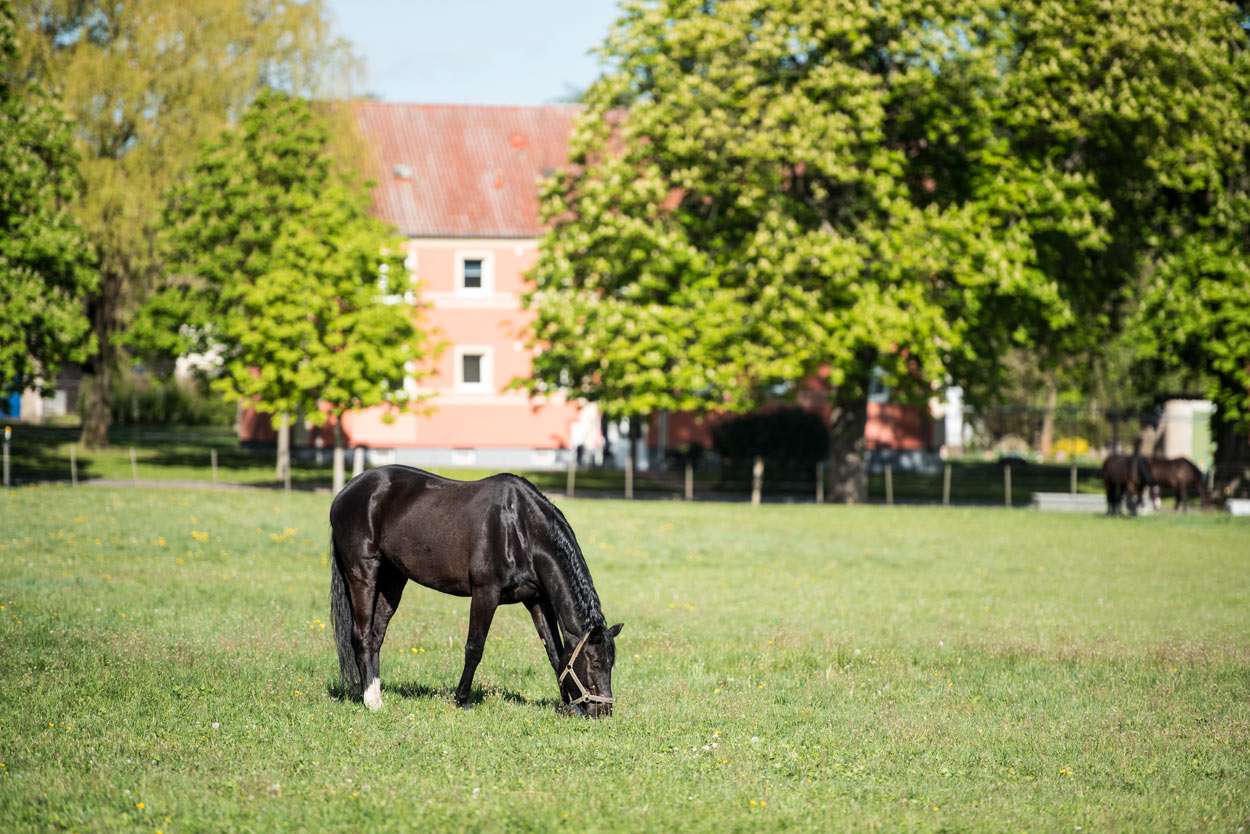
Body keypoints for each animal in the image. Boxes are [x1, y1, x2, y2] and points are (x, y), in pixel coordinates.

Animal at [329, 465, 623, 717]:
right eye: (596, 664)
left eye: (611, 664)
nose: (603, 711)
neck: (520, 528)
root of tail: (346, 491)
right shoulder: (485, 593)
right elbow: (474, 648)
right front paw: (462, 700)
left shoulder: (537, 600)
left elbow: (555, 652)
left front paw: (568, 705)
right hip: (363, 571)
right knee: (362, 635)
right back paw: (371, 701)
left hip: (393, 580)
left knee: (376, 635)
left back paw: (374, 692)